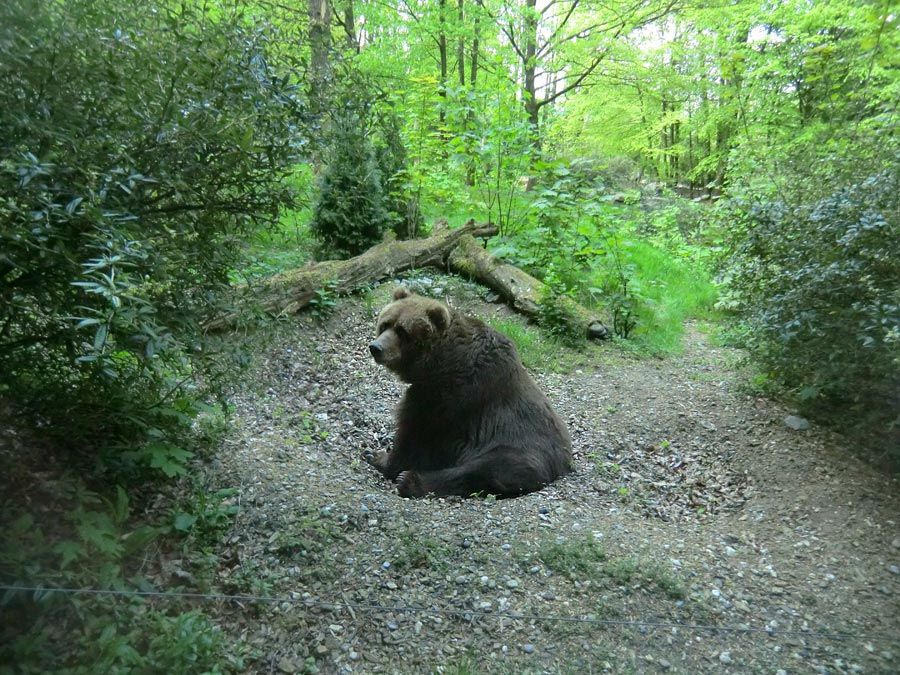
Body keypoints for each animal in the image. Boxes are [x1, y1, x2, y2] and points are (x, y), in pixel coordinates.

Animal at [364, 286, 568, 496]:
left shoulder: (451, 395)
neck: (440, 362)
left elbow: (415, 430)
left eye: (402, 331)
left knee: (484, 469)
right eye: (385, 324)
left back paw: (410, 480)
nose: (376, 347)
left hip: (516, 446)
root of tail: (563, 465)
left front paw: (380, 458)